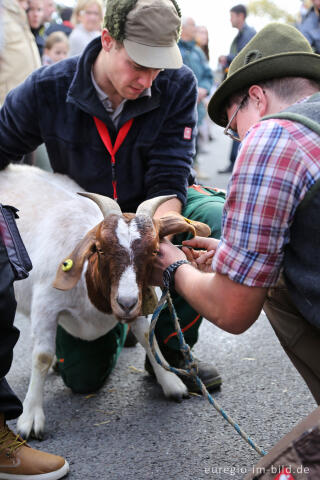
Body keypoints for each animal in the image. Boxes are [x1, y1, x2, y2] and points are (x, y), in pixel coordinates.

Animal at [0, 165, 212, 438]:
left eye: (154, 250)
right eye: (100, 249)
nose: (126, 302)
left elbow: (147, 336)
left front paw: (171, 383)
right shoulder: (45, 306)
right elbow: (42, 356)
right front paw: (31, 418)